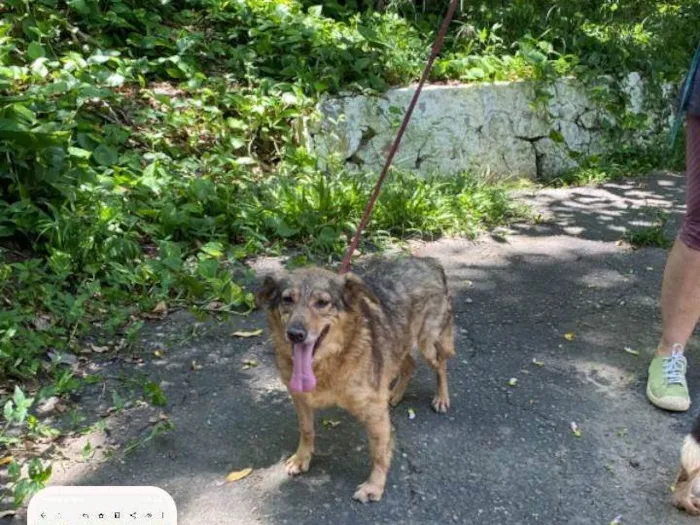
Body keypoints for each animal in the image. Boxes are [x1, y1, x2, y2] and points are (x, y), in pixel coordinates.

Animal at [254, 256, 456, 502]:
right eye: (287, 299)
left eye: (322, 302)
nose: (295, 334)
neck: (328, 362)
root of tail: (430, 262)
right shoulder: (300, 398)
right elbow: (307, 430)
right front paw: (302, 458)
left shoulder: (375, 413)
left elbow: (378, 451)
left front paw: (374, 486)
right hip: (397, 345)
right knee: (409, 364)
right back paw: (395, 394)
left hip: (427, 341)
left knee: (440, 364)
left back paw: (441, 397)